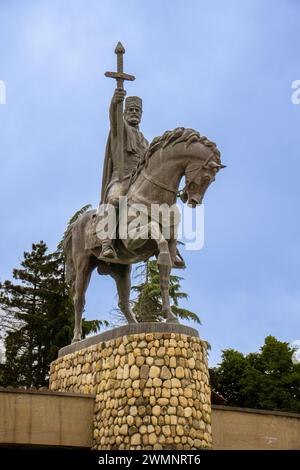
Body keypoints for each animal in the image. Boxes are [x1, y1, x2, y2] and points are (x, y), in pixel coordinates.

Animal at [64, 129, 224, 342]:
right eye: (206, 177)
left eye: (212, 180)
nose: (193, 201)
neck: (153, 196)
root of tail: (75, 224)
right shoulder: (132, 239)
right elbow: (155, 232)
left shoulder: (171, 244)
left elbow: (164, 277)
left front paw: (170, 316)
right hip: (83, 266)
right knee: (79, 299)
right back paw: (76, 338)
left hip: (122, 270)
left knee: (123, 302)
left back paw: (134, 326)